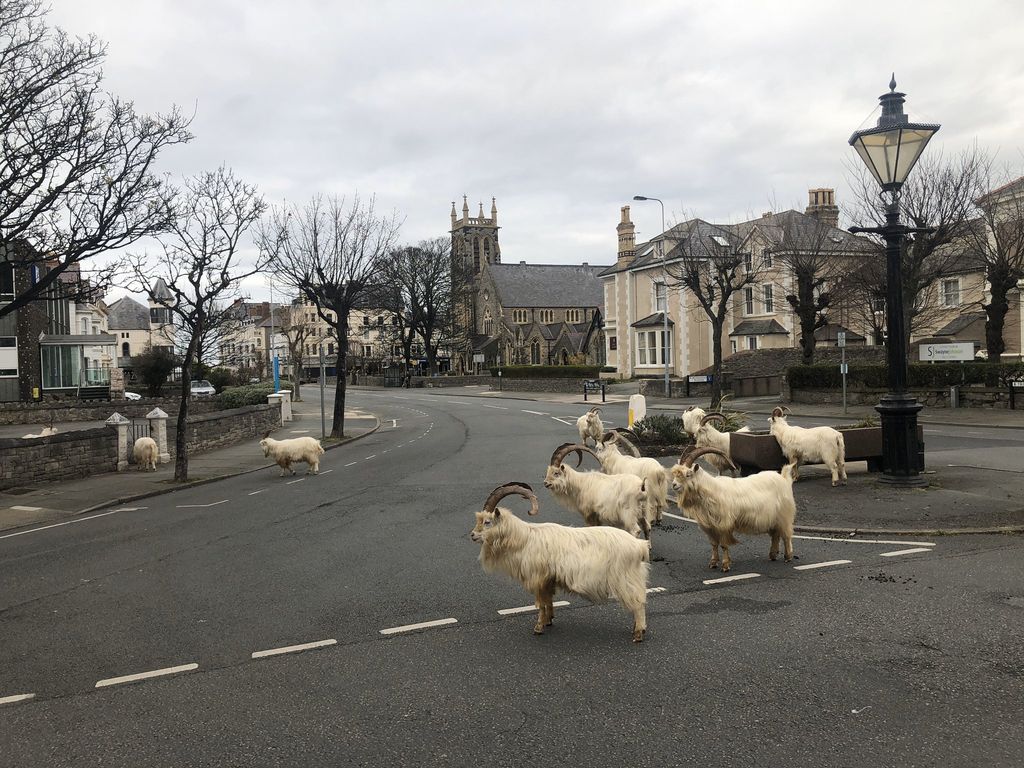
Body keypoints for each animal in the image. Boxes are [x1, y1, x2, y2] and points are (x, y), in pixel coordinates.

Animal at [468, 483, 647, 647]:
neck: (524, 539)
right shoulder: (548, 579)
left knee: (638, 603)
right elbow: (548, 600)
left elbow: (541, 603)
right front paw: (549, 620)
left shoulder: (538, 578)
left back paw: (638, 633)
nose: (472, 535)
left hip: (625, 578)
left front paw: (538, 628)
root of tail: (639, 546)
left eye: (487, 522)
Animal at [671, 444, 798, 573]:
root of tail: (784, 478)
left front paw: (725, 565)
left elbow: (723, 545)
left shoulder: (723, 524)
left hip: (784, 515)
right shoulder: (710, 527)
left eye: (688, 474)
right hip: (773, 519)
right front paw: (713, 563)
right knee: (775, 535)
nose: (674, 485)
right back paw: (772, 555)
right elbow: (713, 544)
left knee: (786, 535)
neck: (711, 491)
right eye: (675, 474)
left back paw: (788, 557)